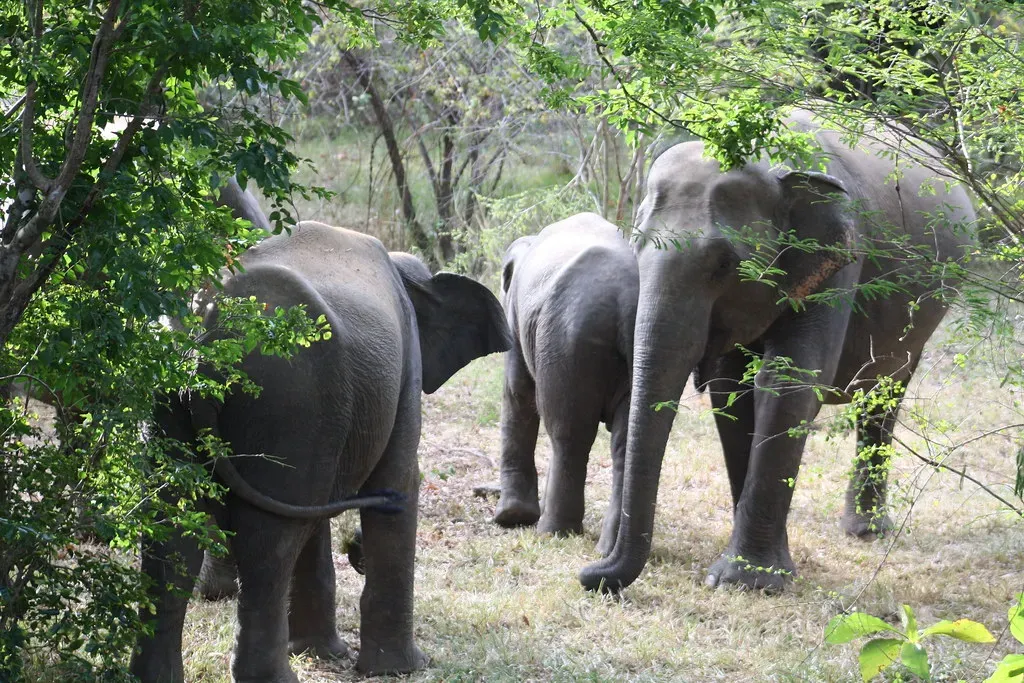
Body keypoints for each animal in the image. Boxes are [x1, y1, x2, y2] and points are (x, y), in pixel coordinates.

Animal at [129, 221, 512, 683]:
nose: (355, 552)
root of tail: (206, 337)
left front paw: (323, 653)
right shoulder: (404, 372)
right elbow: (399, 480)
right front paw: (401, 669)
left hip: (169, 395)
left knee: (171, 529)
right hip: (289, 400)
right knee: (268, 541)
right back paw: (277, 677)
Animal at [493, 213, 638, 555]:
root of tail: (626, 300)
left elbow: (518, 394)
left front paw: (509, 518)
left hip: (565, 339)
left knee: (568, 433)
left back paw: (552, 532)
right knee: (623, 442)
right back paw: (605, 547)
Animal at [578, 110, 975, 593]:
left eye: (724, 264)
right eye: (635, 247)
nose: (590, 574)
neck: (773, 159)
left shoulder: (839, 254)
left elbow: (787, 381)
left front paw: (745, 582)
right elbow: (731, 390)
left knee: (887, 390)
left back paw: (866, 532)